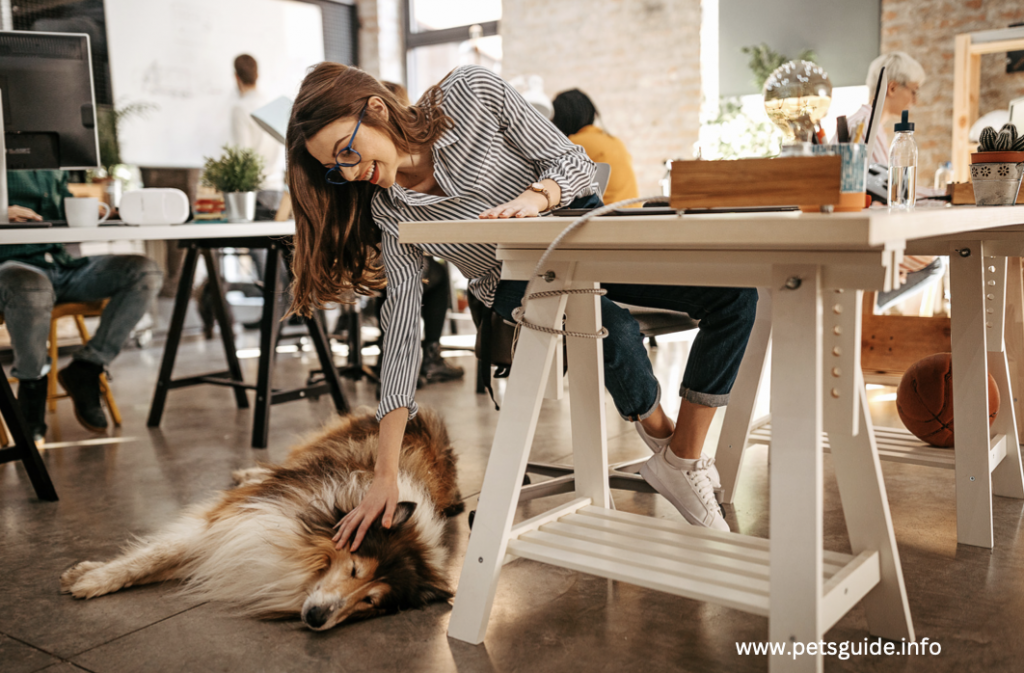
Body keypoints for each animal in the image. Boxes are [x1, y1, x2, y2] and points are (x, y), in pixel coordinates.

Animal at [59, 407, 464, 631]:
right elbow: (151, 558)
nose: (317, 618)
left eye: (371, 602)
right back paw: (249, 472)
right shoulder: (234, 519)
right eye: (353, 570)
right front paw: (91, 579)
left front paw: (88, 576)